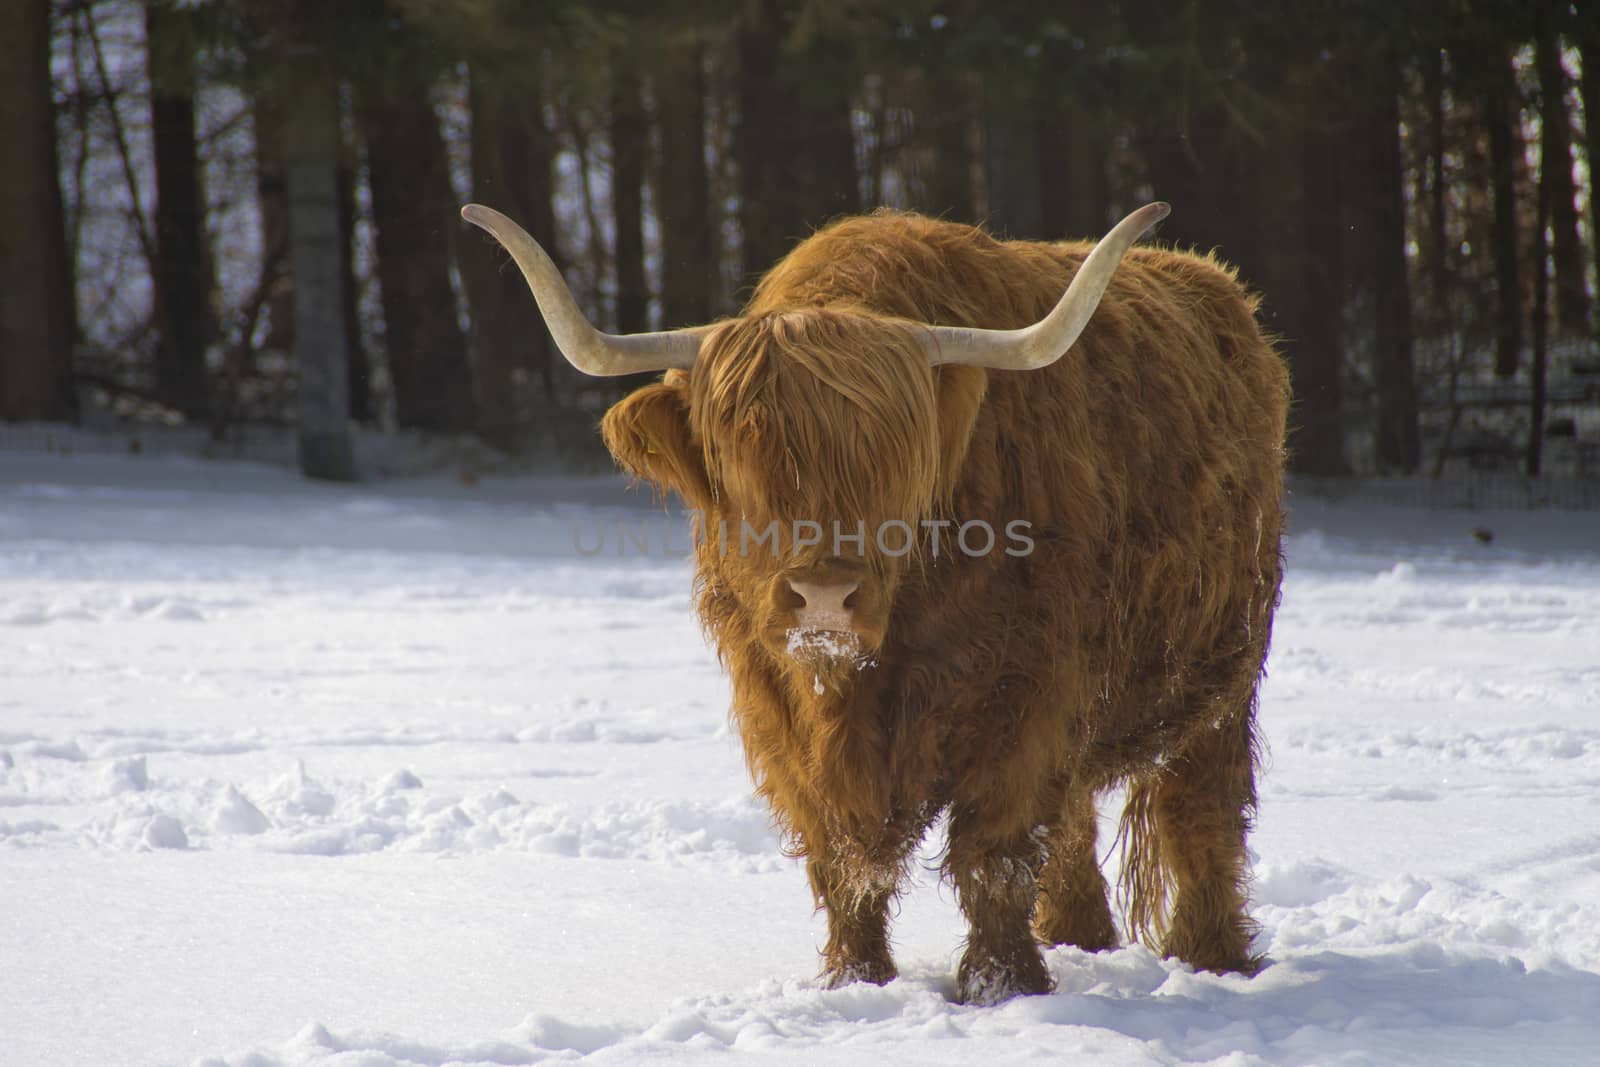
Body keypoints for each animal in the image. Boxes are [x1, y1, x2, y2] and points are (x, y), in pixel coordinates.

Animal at [460, 202, 1286, 1011]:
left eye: (894, 461)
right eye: (741, 457)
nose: (824, 594)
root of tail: (1224, 292)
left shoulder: (1029, 696)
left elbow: (995, 852)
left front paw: (1001, 985)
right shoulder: (777, 704)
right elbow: (839, 859)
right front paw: (854, 980)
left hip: (1225, 669)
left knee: (1201, 809)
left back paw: (1212, 956)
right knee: (1082, 811)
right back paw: (1077, 935)